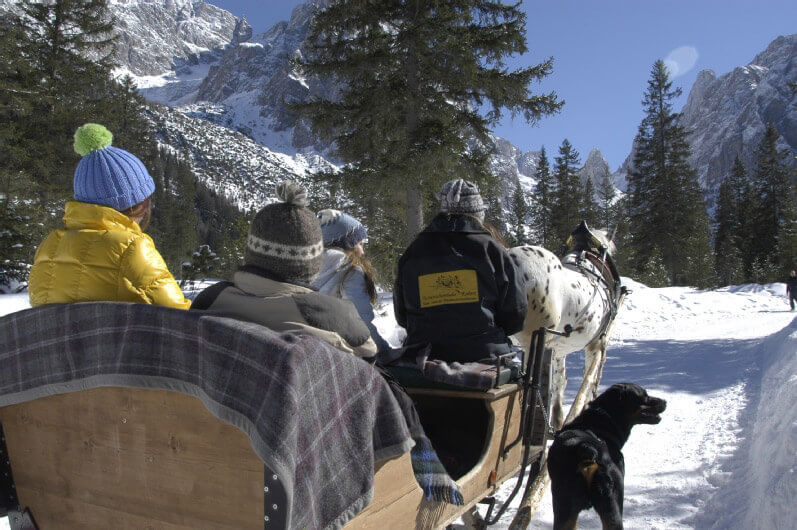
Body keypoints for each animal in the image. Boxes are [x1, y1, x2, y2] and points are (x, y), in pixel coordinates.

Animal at [509, 222, 623, 430]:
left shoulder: (558, 350)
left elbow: (560, 380)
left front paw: (557, 418)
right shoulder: (597, 343)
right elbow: (590, 378)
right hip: (533, 341)